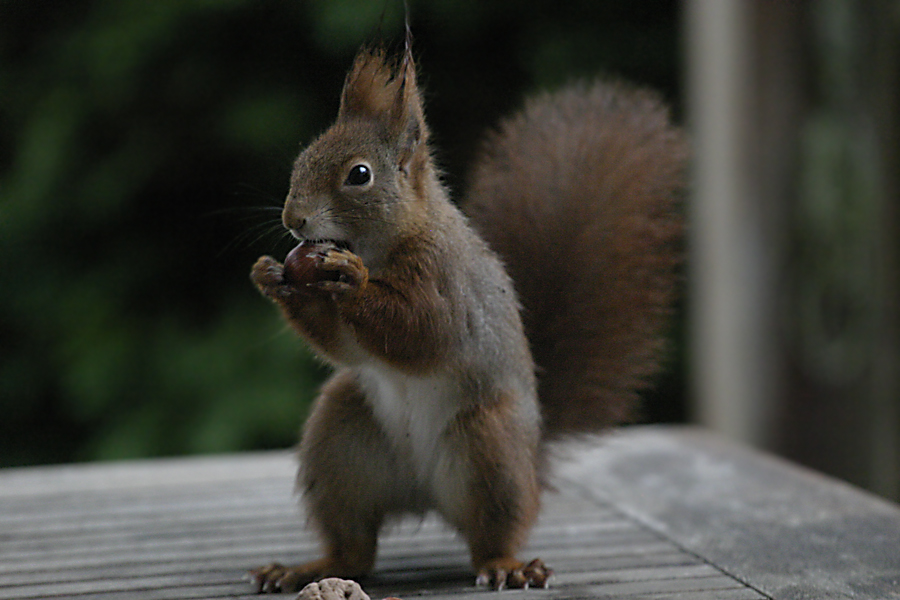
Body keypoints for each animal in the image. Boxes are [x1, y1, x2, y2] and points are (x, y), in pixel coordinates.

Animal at [250, 39, 684, 592]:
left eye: (359, 175)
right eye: (303, 158)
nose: (293, 219)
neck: (384, 244)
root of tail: (421, 493)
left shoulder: (446, 284)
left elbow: (421, 333)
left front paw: (350, 278)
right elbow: (344, 345)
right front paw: (271, 276)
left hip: (489, 446)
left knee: (491, 533)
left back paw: (506, 566)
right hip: (340, 440)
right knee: (355, 549)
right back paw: (307, 568)